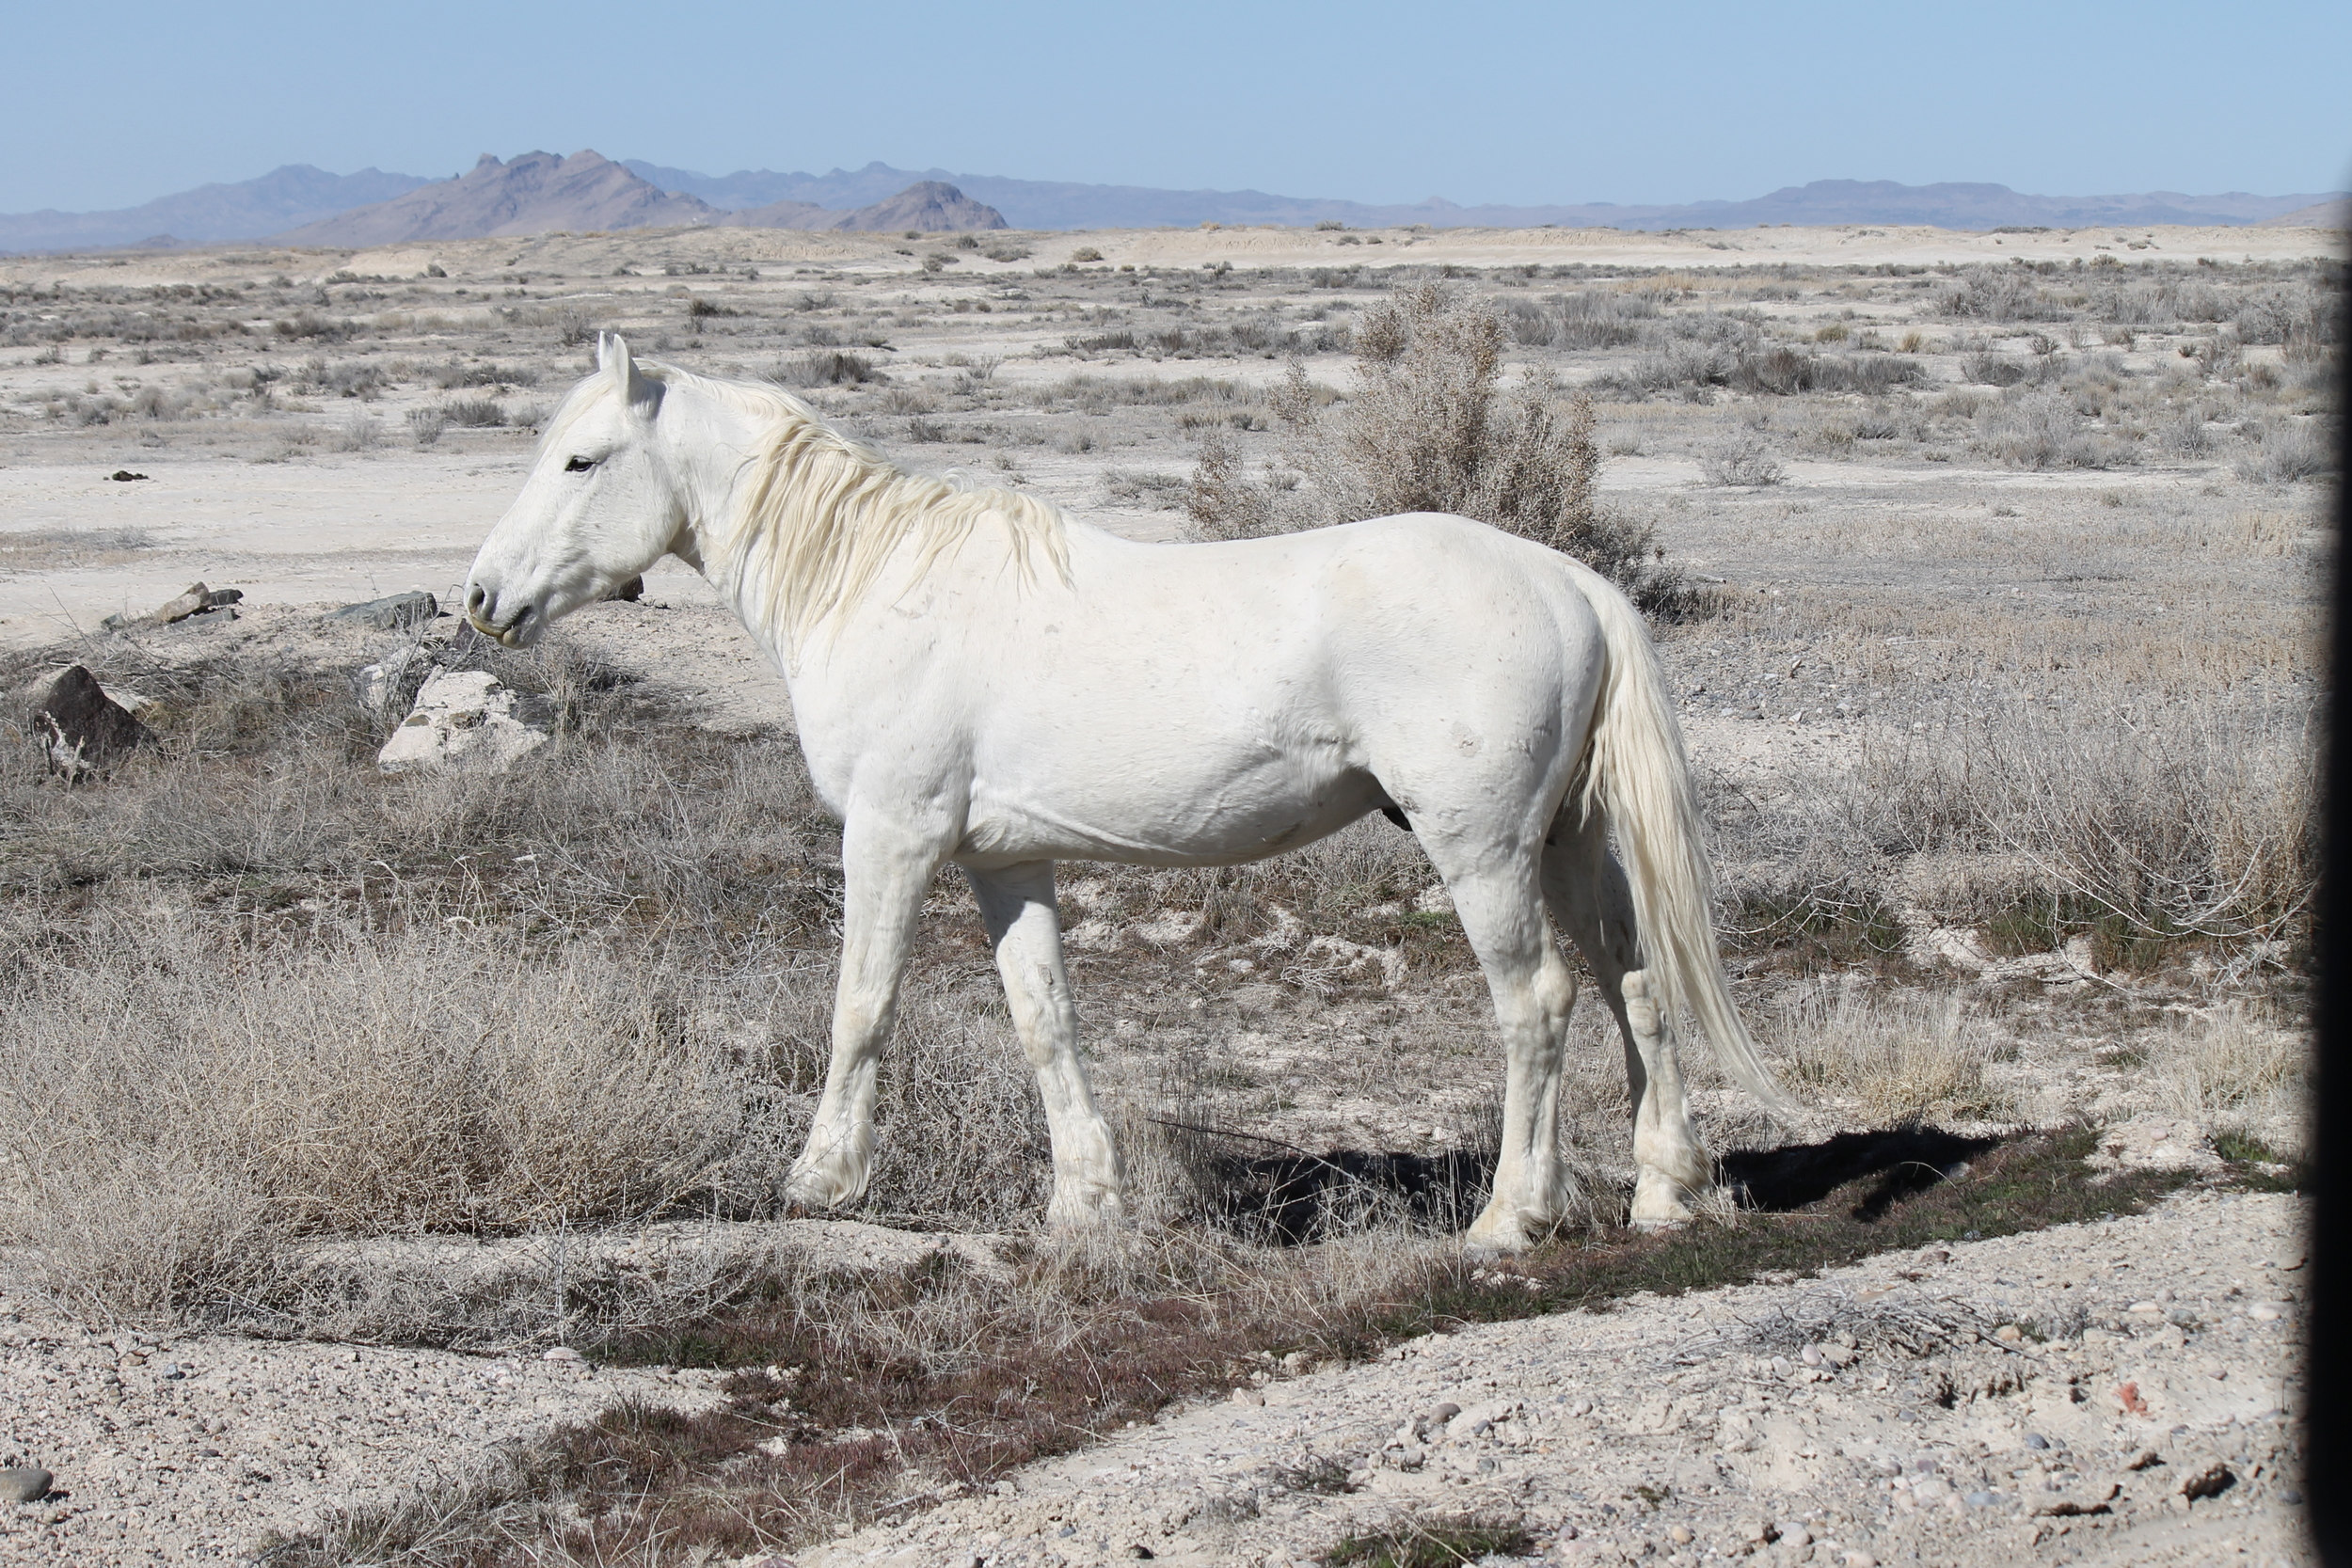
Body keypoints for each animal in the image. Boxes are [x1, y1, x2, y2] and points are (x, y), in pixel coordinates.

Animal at [468, 333, 1788, 1250]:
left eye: (581, 459)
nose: (481, 598)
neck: (875, 580)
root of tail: (1567, 578)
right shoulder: (1002, 858)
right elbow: (1044, 1019)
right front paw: (1084, 1200)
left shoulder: (892, 837)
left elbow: (861, 1007)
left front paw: (821, 1179)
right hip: (1565, 840)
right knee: (1633, 983)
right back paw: (1664, 1191)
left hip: (1483, 853)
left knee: (1541, 1004)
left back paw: (1514, 1215)